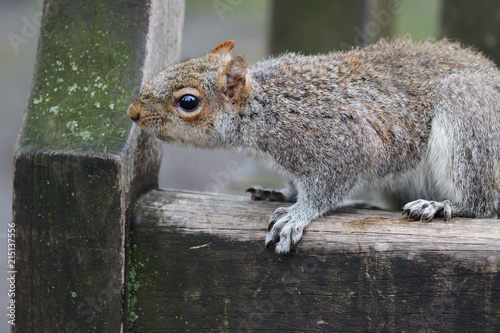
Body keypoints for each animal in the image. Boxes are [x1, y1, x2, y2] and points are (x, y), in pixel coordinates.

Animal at [127, 37, 498, 253]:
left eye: (188, 102)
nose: (134, 113)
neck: (266, 105)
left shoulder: (342, 141)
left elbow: (326, 187)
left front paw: (297, 215)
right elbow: (296, 184)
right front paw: (281, 194)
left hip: (469, 116)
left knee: (482, 204)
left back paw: (440, 205)